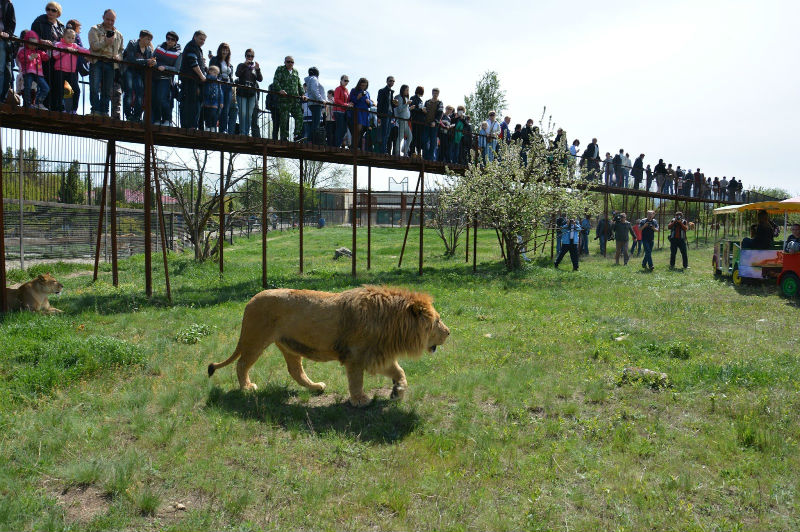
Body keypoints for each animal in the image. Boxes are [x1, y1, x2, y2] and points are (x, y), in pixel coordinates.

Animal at [208, 284, 450, 406]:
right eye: (437, 321)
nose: (448, 332)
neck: (392, 322)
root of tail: (250, 300)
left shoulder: (376, 354)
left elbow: (399, 371)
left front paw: (397, 391)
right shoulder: (356, 356)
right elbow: (356, 381)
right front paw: (360, 400)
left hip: (289, 346)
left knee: (295, 371)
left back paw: (317, 387)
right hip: (256, 339)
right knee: (242, 364)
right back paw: (247, 388)